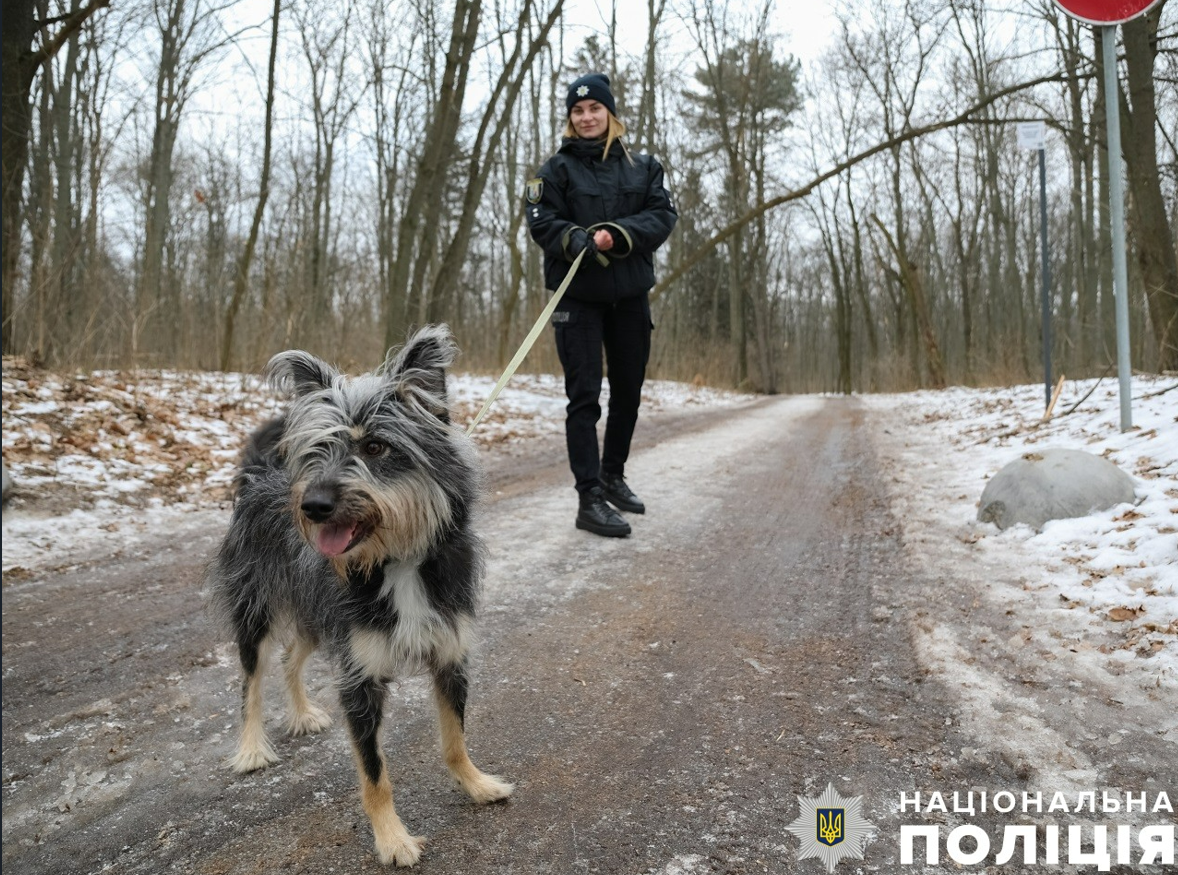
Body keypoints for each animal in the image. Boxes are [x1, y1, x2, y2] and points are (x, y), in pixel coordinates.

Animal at [207, 327, 511, 871]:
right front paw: (392, 839)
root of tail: (259, 475)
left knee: (291, 657)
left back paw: (302, 713)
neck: (397, 562)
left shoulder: (449, 655)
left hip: (317, 619)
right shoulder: (360, 678)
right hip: (256, 612)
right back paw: (251, 748)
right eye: (318, 449)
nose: (312, 506)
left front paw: (476, 784)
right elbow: (374, 773)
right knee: (250, 682)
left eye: (376, 446)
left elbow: (455, 739)